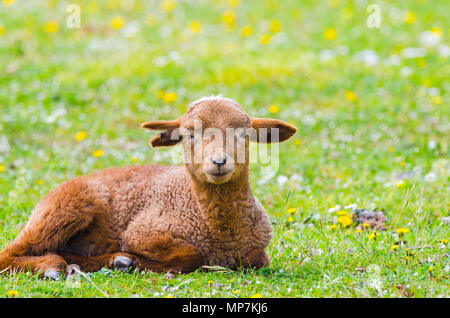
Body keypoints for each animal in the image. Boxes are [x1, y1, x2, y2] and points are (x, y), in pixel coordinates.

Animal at [0, 96, 298, 278]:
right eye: (189, 135)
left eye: (244, 135)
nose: (218, 162)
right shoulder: (142, 232)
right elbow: (191, 253)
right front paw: (143, 263)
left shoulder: (258, 246)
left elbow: (257, 259)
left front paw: (125, 262)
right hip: (66, 208)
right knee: (11, 252)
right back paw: (53, 267)